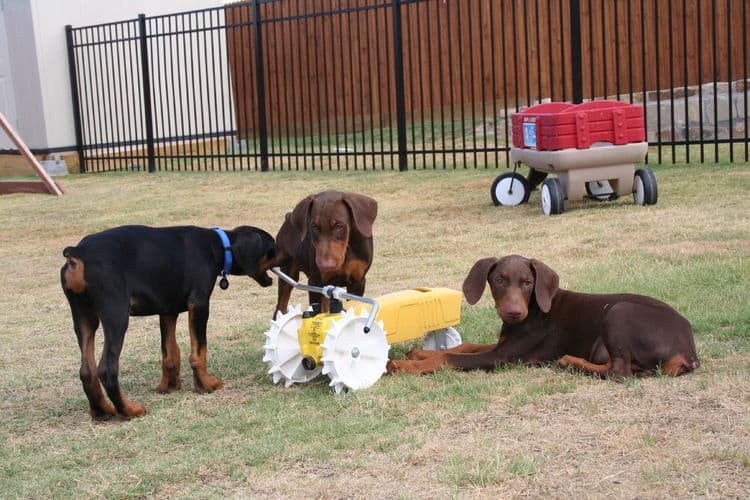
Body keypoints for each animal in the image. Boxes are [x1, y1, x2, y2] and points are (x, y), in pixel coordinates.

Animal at [58, 226, 276, 418]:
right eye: (272, 247)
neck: (218, 245)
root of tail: (78, 252)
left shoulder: (167, 310)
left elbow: (170, 354)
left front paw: (169, 387)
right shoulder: (199, 304)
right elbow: (199, 352)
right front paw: (206, 385)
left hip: (83, 317)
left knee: (87, 371)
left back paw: (102, 411)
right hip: (116, 316)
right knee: (107, 369)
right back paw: (129, 411)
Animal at [390, 254, 704, 378]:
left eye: (528, 282)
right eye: (500, 280)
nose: (514, 312)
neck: (532, 313)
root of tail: (688, 353)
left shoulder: (503, 357)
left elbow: (449, 357)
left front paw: (403, 365)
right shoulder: (503, 345)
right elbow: (465, 346)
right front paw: (419, 353)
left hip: (619, 311)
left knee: (619, 372)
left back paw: (570, 361)